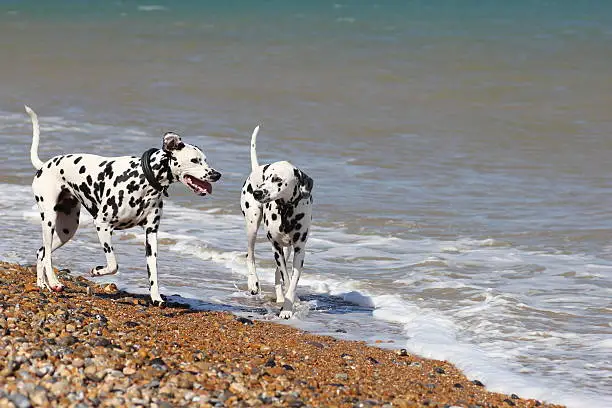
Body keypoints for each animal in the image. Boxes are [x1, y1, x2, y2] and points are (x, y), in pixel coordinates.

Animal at [26, 107, 222, 304]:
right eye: (195, 160)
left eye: (205, 160)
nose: (217, 174)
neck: (143, 178)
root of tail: (44, 165)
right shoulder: (103, 225)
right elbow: (113, 264)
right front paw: (97, 271)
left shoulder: (151, 234)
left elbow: (153, 271)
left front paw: (156, 297)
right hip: (49, 221)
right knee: (47, 254)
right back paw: (54, 282)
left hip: (67, 230)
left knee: (41, 252)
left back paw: (42, 284)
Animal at [239, 126, 314, 318]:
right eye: (266, 178)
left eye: (277, 179)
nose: (258, 192)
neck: (286, 211)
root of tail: (256, 167)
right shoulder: (276, 247)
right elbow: (286, 277)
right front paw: (288, 305)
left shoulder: (298, 250)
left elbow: (291, 280)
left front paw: (287, 306)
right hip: (252, 226)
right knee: (250, 254)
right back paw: (253, 283)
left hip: (287, 248)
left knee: (276, 273)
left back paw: (280, 298)